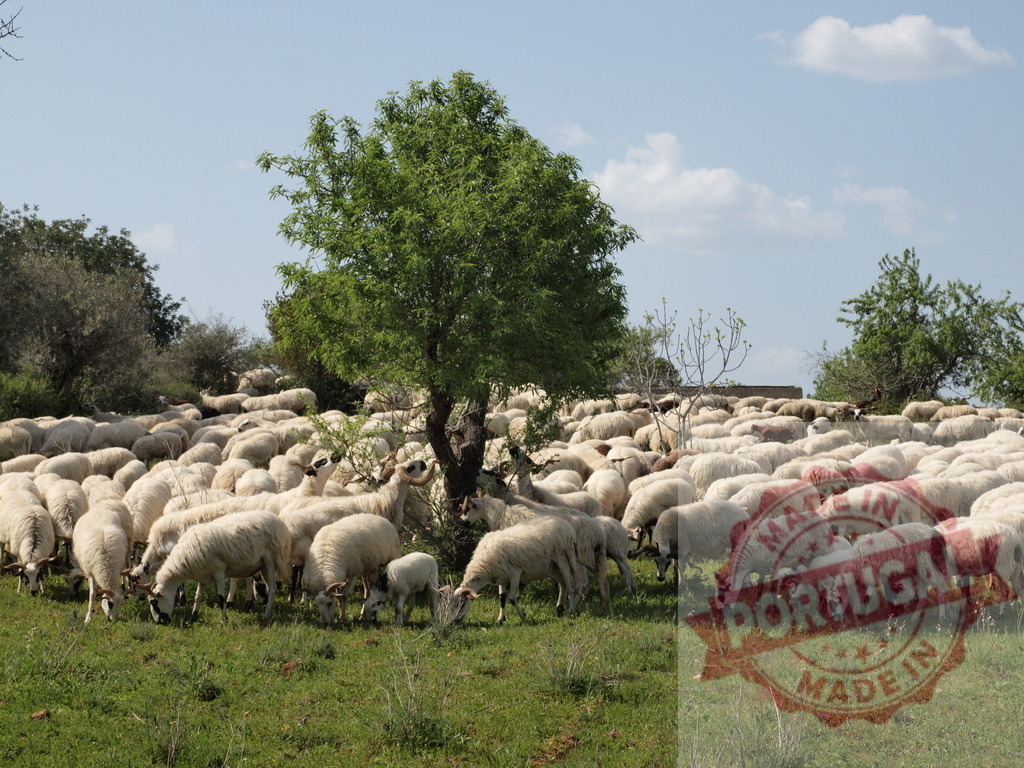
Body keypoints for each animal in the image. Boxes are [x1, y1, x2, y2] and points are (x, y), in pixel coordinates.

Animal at [145, 509, 291, 624]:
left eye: (154, 603)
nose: (160, 623)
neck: (183, 561)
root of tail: (276, 518)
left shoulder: (219, 571)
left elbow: (220, 599)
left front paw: (223, 622)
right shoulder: (202, 576)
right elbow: (198, 597)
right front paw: (192, 618)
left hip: (271, 559)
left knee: (273, 588)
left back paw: (266, 615)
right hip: (262, 565)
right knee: (269, 586)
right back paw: (268, 612)